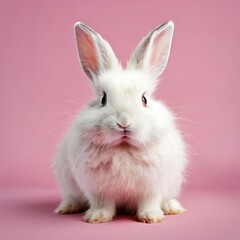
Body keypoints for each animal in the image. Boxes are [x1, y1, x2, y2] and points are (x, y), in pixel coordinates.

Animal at [54, 20, 188, 223]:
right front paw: (97, 217)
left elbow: (149, 201)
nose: (124, 122)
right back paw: (66, 208)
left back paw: (172, 208)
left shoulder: (152, 187)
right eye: (103, 99)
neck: (123, 148)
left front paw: (151, 217)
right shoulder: (98, 189)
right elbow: (102, 203)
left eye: (144, 100)